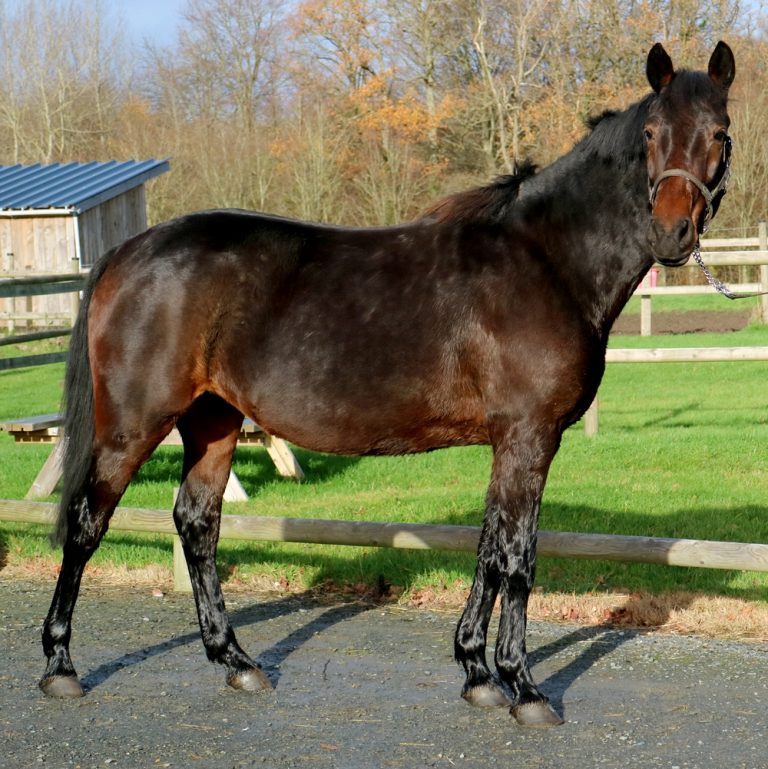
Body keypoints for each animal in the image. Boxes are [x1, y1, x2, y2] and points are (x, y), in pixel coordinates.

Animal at [39, 41, 735, 728]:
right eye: (651, 134)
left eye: (719, 135)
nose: (672, 232)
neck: (547, 259)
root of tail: (127, 252)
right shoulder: (529, 436)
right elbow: (518, 557)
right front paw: (524, 687)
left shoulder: (508, 443)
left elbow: (488, 548)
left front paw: (476, 672)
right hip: (133, 425)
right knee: (86, 523)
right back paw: (60, 666)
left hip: (212, 420)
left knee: (197, 524)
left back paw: (236, 661)